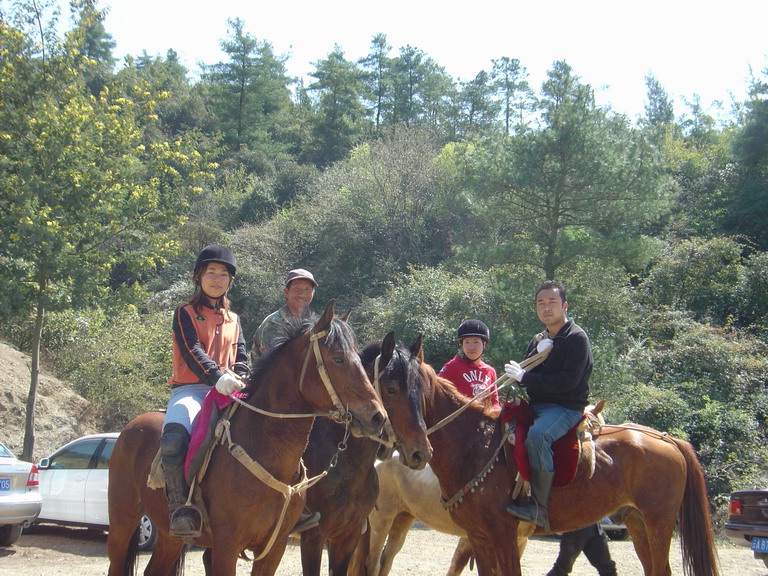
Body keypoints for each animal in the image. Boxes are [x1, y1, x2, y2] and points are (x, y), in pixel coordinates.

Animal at [105, 302, 388, 576]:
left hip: (170, 536)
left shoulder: (274, 547)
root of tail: (130, 428)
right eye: (338, 359)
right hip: (122, 523)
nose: (377, 417)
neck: (266, 450)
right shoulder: (227, 546)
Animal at [414, 360, 720, 576]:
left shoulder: (502, 534)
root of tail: (669, 440)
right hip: (637, 521)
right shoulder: (480, 535)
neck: (476, 443)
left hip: (659, 521)